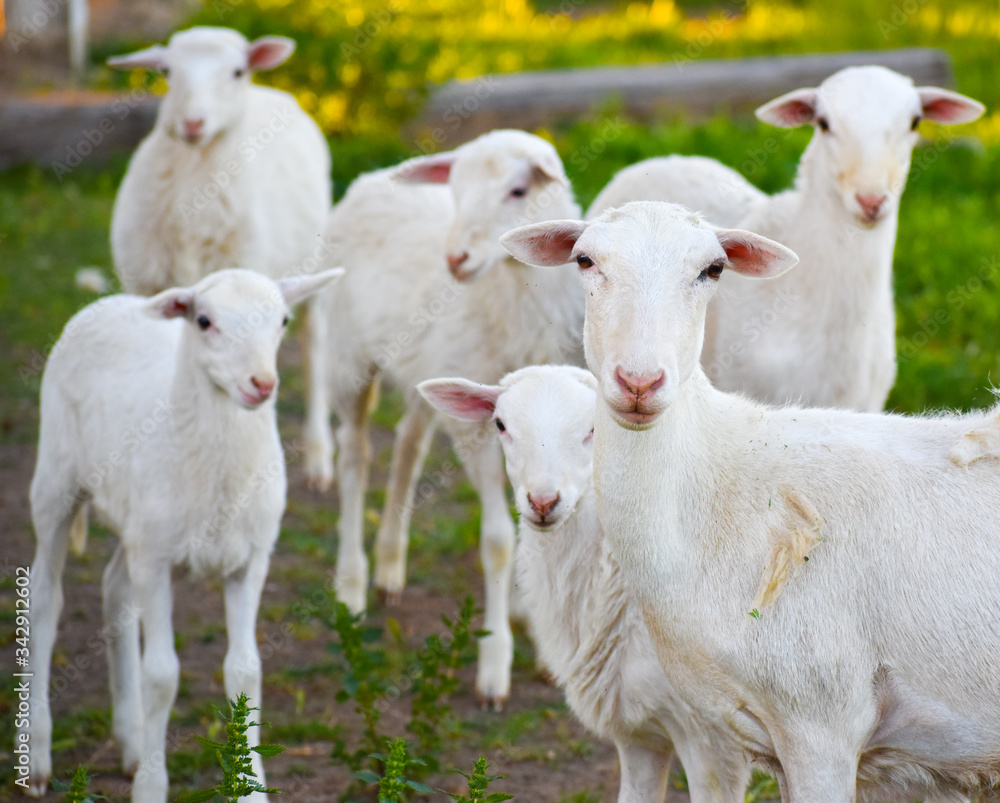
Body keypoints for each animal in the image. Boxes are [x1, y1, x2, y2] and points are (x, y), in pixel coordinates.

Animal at [20, 267, 342, 802]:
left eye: (283, 320)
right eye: (204, 321)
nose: (262, 383)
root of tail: (109, 300)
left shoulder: (250, 559)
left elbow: (245, 670)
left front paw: (252, 788)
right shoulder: (155, 560)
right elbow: (162, 676)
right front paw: (152, 787)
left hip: (138, 520)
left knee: (114, 588)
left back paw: (130, 741)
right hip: (56, 480)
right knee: (45, 597)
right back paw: (39, 757)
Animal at [304, 129, 585, 707]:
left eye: (518, 190)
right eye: (454, 189)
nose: (456, 258)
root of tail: (372, 175)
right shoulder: (478, 427)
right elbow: (498, 541)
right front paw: (495, 664)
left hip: (426, 372)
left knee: (408, 445)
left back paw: (390, 565)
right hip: (348, 360)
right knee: (356, 457)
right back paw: (352, 583)